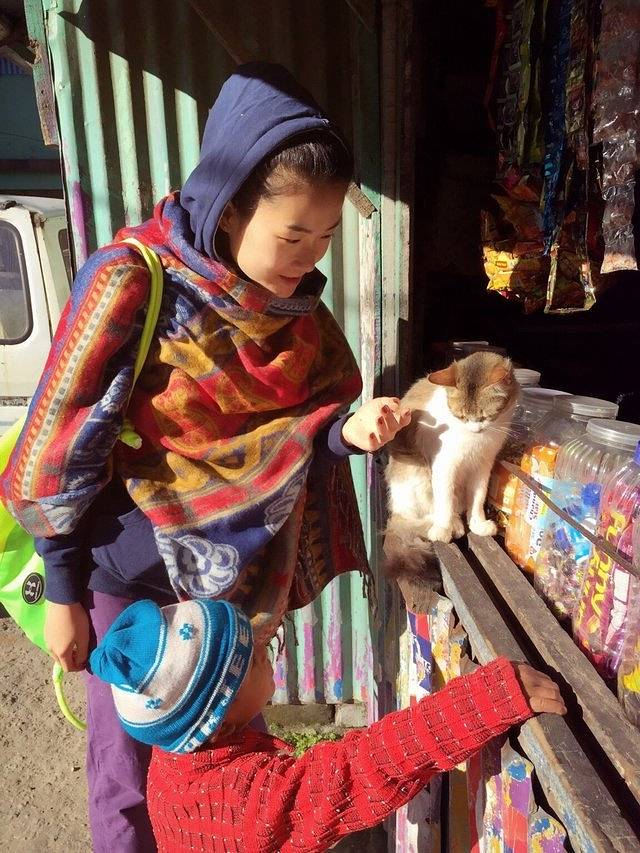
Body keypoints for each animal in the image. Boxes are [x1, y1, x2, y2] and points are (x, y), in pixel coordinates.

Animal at [383, 352, 518, 578]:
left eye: (485, 416)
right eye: (462, 416)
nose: (475, 429)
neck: (475, 440)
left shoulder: (483, 466)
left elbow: (478, 499)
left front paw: (478, 524)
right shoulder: (445, 466)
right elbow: (445, 502)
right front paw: (443, 530)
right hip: (418, 473)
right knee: (424, 513)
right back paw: (450, 524)